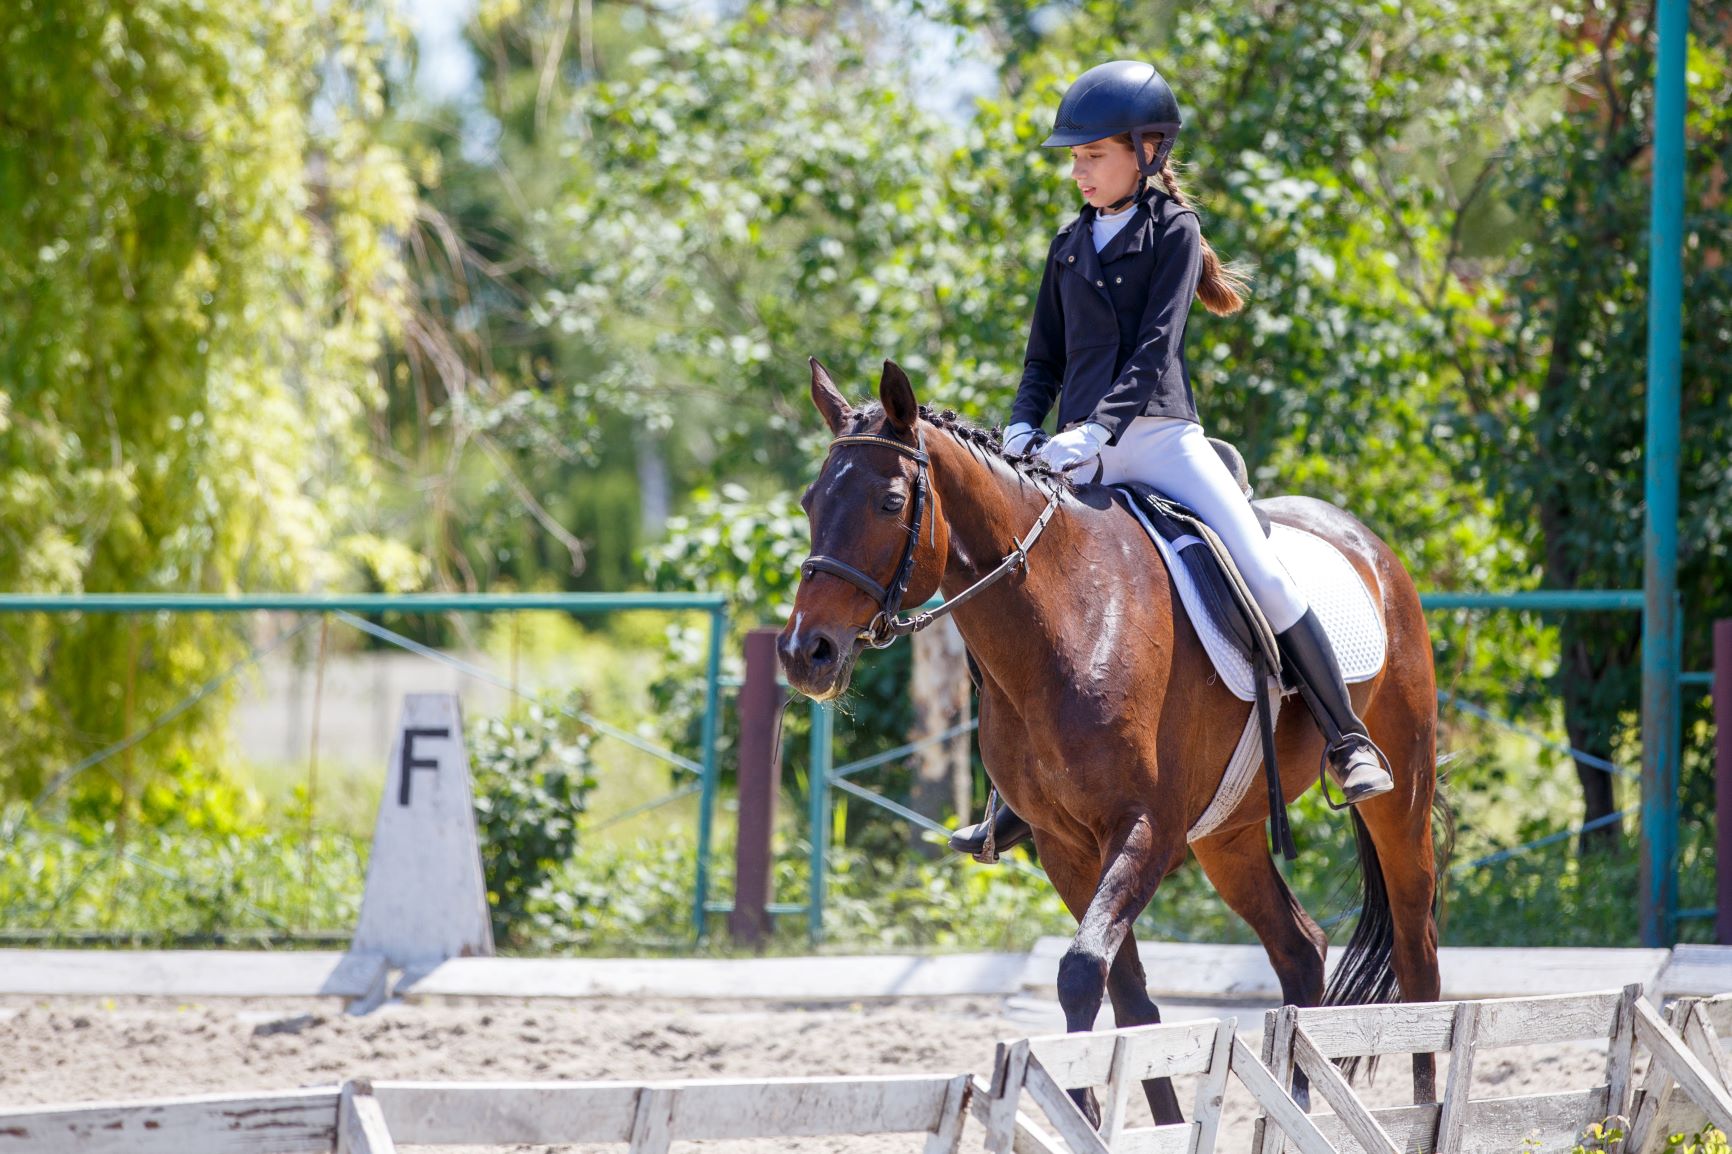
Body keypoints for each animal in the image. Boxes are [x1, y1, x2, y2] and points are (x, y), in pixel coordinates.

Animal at [779, 355, 1441, 1115]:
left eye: (890, 503)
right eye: (810, 502)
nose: (805, 653)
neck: (1072, 620)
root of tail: (1365, 542)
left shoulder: (1144, 827)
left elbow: (1080, 972)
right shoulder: (1064, 844)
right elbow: (1126, 997)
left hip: (1401, 793)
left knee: (1418, 953)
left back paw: (1428, 1109)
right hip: (1229, 835)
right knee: (1300, 949)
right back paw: (1293, 1105)